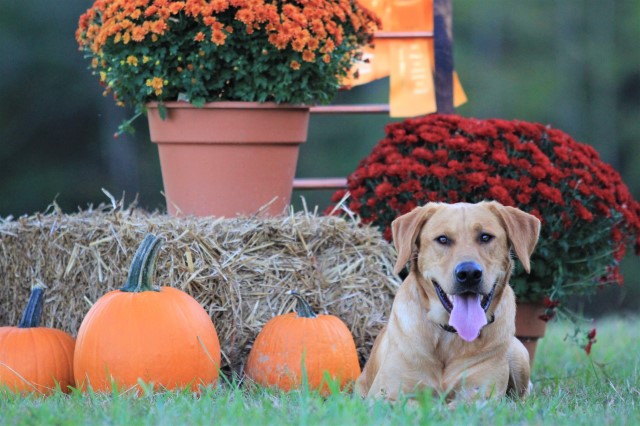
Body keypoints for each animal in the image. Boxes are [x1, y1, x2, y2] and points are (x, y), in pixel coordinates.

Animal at [356, 201, 540, 402]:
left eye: (485, 237)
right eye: (443, 239)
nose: (469, 273)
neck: (450, 336)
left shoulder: (482, 396)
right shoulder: (384, 395)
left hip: (517, 353)